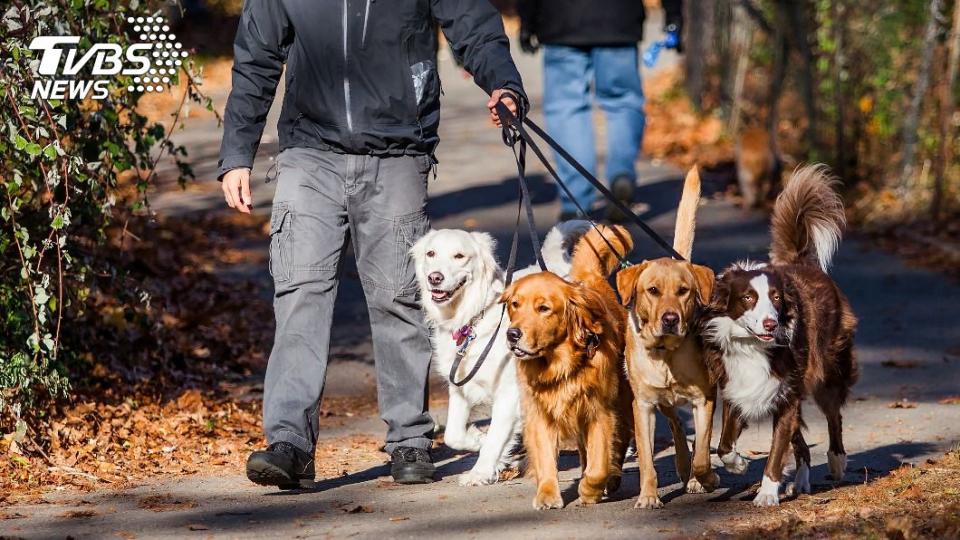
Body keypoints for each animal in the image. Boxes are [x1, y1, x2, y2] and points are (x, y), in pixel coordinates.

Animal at [412, 219, 592, 486]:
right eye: (431, 253)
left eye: (459, 256)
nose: (435, 278)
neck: (473, 318)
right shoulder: (460, 388)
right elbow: (454, 434)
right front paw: (478, 439)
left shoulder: (509, 393)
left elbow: (496, 437)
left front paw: (479, 472)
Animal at [616, 167, 720, 508]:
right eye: (652, 291)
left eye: (683, 291)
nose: (671, 319)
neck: (665, 354)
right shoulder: (644, 406)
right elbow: (647, 460)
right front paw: (649, 496)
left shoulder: (705, 399)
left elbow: (703, 452)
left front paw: (705, 479)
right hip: (662, 403)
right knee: (675, 423)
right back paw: (681, 464)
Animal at [700, 165, 860, 506]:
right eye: (748, 298)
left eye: (776, 298)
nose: (771, 324)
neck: (752, 347)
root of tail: (801, 262)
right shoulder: (737, 388)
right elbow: (724, 444)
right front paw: (738, 464)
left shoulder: (786, 394)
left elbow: (776, 449)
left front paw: (767, 493)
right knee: (801, 444)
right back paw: (799, 482)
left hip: (827, 369)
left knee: (833, 416)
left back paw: (837, 461)